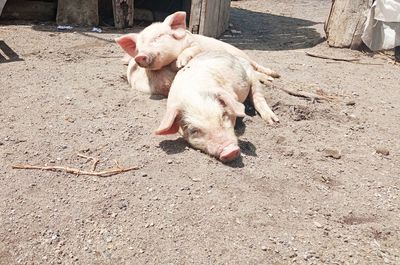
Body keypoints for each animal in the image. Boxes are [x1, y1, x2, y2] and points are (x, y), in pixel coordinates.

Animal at [114, 11, 280, 96]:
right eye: (138, 48)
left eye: (159, 37)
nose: (139, 56)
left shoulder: (195, 44)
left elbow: (193, 50)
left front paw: (181, 63)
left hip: (239, 53)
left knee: (255, 65)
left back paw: (274, 76)